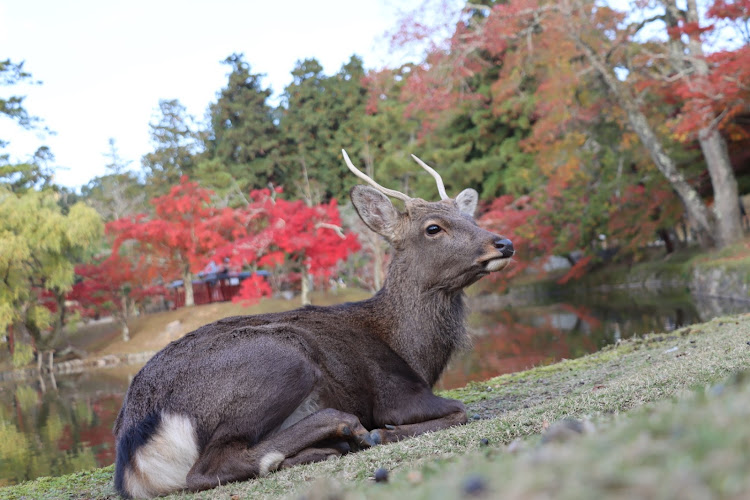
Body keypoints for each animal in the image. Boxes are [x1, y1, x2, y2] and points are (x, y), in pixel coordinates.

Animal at [113, 150, 516, 498]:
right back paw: (348, 431)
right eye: (433, 228)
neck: (413, 353)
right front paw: (383, 433)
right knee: (208, 468)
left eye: (471, 219)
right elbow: (460, 410)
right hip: (281, 358)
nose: (504, 243)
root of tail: (133, 451)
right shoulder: (396, 394)